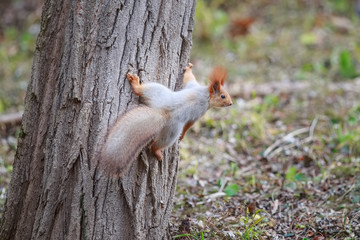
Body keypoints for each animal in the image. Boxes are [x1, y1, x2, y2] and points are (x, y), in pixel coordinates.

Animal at [100, 63, 232, 176]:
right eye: (223, 96)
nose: (231, 103)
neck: (206, 95)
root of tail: (163, 113)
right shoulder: (200, 112)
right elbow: (189, 124)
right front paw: (183, 135)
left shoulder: (193, 86)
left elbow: (188, 78)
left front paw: (188, 69)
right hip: (171, 131)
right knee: (156, 145)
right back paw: (157, 152)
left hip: (157, 93)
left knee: (141, 91)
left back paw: (136, 85)